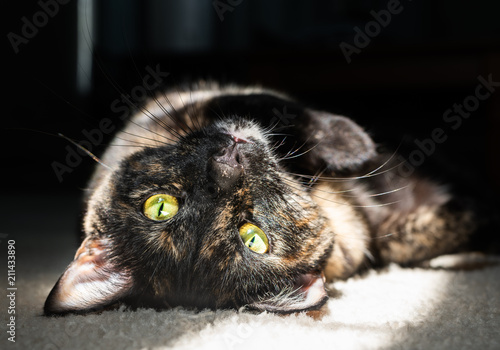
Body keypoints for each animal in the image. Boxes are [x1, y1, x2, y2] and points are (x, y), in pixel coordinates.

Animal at [44, 81, 500, 314]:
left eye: (159, 206)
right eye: (253, 239)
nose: (226, 165)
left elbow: (272, 105)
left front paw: (350, 146)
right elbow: (415, 239)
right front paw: (355, 145)